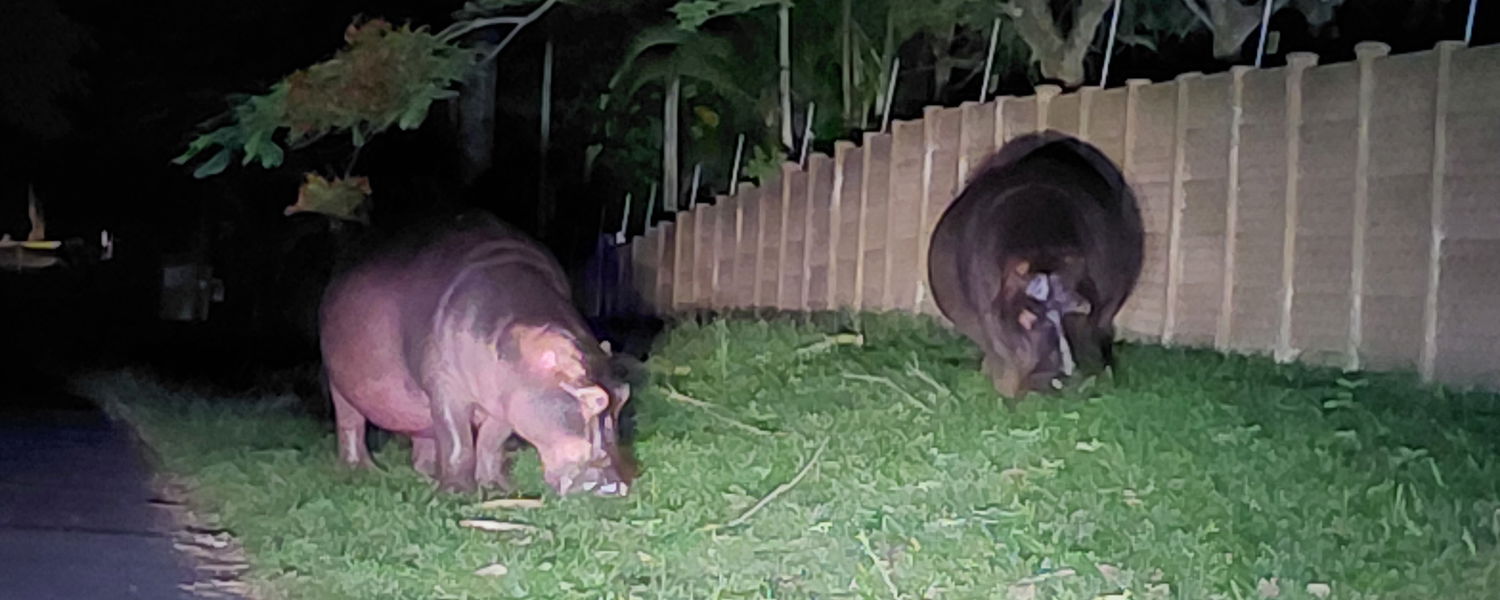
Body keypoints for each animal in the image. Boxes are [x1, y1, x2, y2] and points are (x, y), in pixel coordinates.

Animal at [318, 210, 635, 496]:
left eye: (623, 395)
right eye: (595, 399)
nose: (617, 487)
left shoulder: (504, 398)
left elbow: (490, 443)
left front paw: (497, 488)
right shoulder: (445, 386)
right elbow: (458, 441)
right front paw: (457, 495)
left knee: (423, 437)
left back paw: (427, 476)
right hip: (339, 384)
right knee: (350, 424)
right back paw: (362, 471)